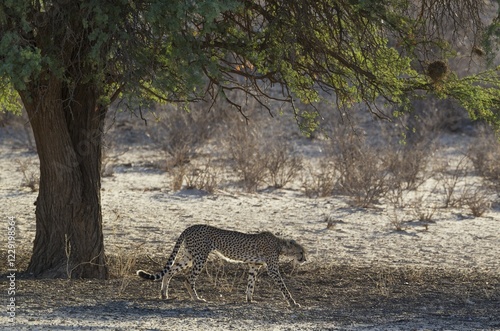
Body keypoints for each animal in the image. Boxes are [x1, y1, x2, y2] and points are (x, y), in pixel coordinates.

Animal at [138, 224, 308, 308]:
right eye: (301, 252)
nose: (305, 259)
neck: (280, 244)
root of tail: (191, 226)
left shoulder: (254, 265)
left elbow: (250, 284)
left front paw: (249, 300)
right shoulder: (272, 269)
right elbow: (283, 287)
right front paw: (293, 303)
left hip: (189, 255)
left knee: (169, 272)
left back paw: (164, 294)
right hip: (200, 257)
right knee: (188, 278)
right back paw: (197, 298)